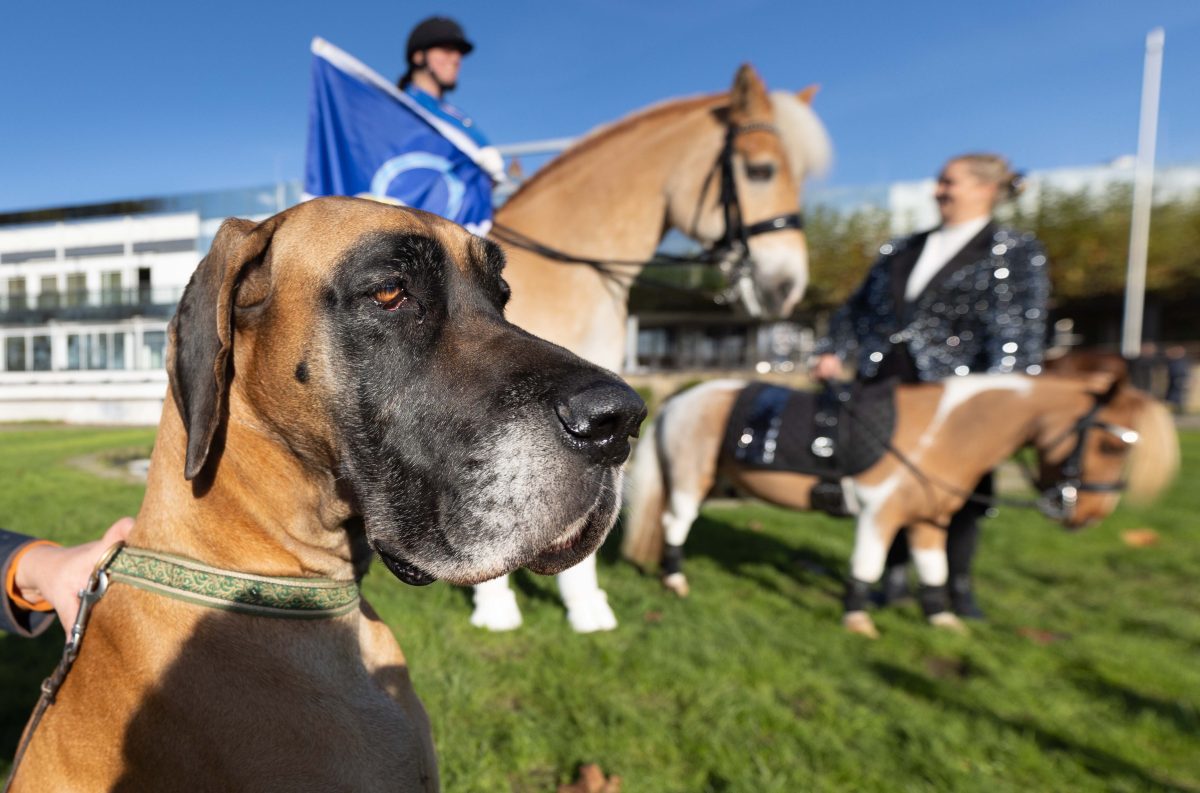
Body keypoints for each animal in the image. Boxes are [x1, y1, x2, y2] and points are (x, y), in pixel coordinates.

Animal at [624, 376, 1176, 638]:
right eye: (1111, 444)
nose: (1089, 517)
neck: (939, 431)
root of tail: (679, 399)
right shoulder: (879, 515)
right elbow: (866, 566)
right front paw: (857, 619)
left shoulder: (929, 521)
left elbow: (934, 569)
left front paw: (942, 620)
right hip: (692, 481)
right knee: (676, 524)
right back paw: (675, 579)